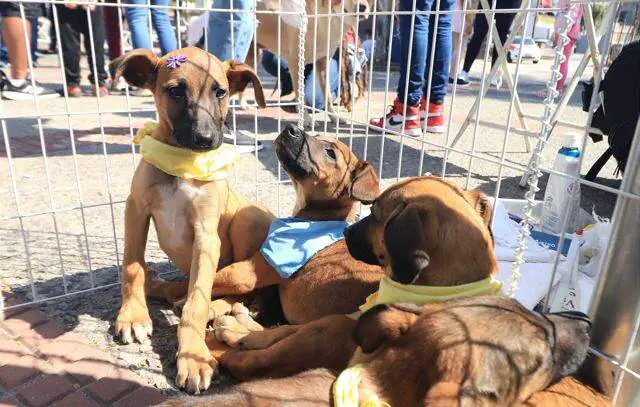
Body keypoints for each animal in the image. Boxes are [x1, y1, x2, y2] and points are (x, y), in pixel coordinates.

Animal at [110, 46, 268, 394]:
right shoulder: (135, 210)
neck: (182, 164)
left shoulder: (206, 236)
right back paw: (159, 286)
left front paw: (193, 356)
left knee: (240, 291)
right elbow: (132, 266)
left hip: (247, 220)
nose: (206, 139)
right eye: (175, 91)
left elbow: (199, 297)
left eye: (220, 92)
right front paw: (133, 316)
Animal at [215, 176, 500, 382]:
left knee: (259, 360)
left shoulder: (334, 331)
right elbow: (281, 330)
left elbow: (271, 350)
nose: (347, 231)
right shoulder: (347, 317)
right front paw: (243, 333)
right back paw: (238, 328)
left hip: (331, 330)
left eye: (374, 212)